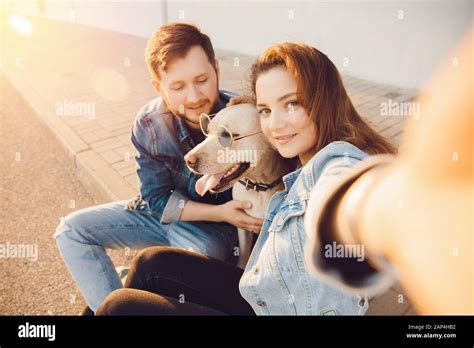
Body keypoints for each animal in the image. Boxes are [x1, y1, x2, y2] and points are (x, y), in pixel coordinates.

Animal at [185, 103, 292, 270]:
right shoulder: (243, 227)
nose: (187, 160)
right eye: (207, 132)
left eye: (226, 136)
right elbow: (244, 252)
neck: (258, 187)